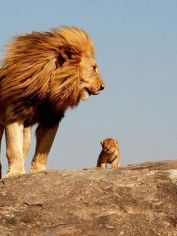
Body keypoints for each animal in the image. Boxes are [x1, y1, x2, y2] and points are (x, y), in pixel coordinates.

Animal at [0, 26, 104, 177]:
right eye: (94, 68)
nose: (103, 86)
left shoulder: (52, 119)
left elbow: (44, 150)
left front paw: (38, 171)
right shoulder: (15, 114)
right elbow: (14, 148)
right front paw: (15, 173)